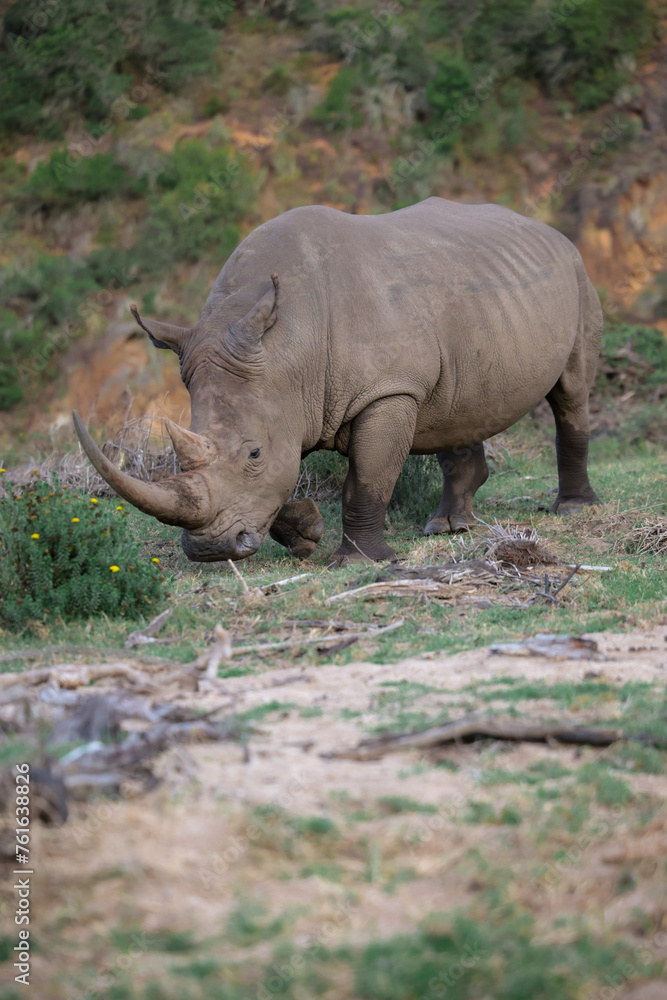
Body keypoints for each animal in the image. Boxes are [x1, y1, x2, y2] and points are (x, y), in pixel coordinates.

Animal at [74, 196, 601, 564]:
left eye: (253, 454)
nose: (211, 549)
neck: (288, 348)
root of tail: (550, 232)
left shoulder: (388, 389)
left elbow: (366, 478)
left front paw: (360, 561)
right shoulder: (290, 399)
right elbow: (285, 475)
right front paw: (306, 533)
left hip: (577, 276)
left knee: (571, 393)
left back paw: (572, 510)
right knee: (458, 406)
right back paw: (450, 527)